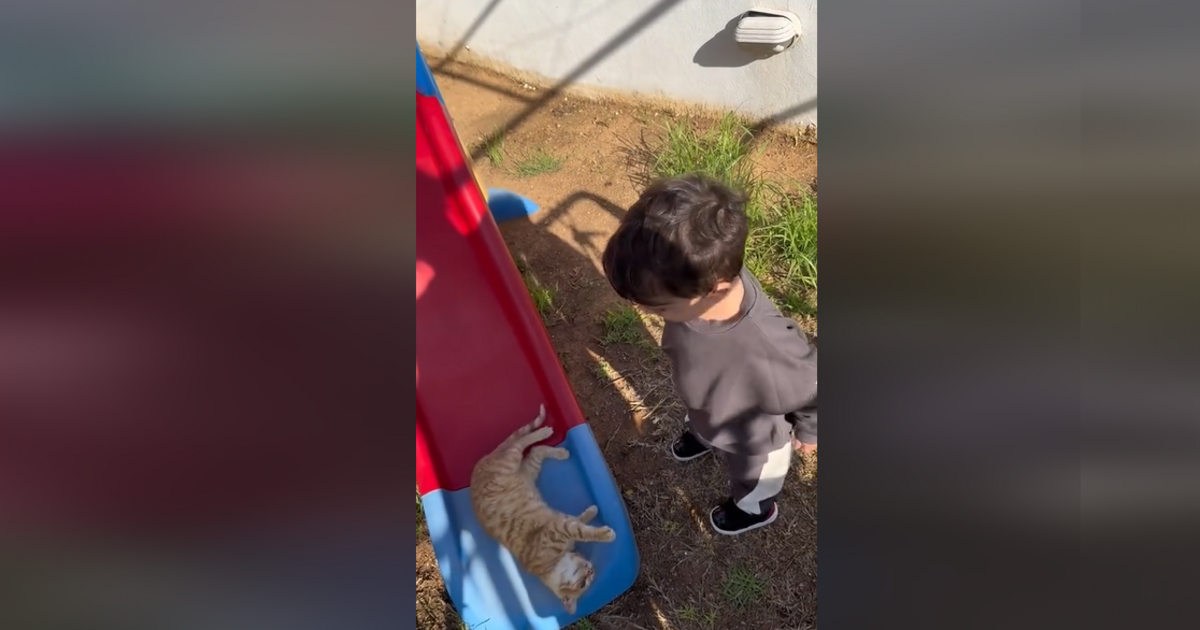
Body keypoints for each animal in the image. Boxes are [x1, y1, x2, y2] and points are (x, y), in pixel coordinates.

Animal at [470, 404, 616, 614]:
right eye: (583, 584)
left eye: (588, 579)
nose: (591, 570)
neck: (551, 564)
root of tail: (475, 471)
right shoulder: (561, 527)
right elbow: (584, 530)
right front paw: (604, 533)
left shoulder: (563, 522)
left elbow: (580, 520)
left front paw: (592, 512)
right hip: (515, 462)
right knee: (525, 443)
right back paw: (547, 434)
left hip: (524, 465)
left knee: (529, 445)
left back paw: (554, 443)